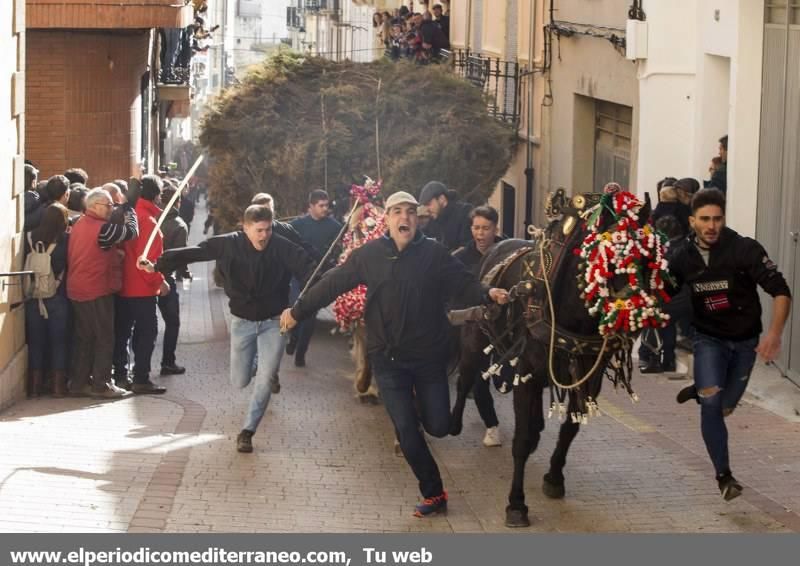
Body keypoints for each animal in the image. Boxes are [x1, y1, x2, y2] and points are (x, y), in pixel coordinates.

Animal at [446, 189, 652, 532]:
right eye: (612, 251)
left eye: (653, 255)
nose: (639, 311)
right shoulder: (525, 372)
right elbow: (520, 439)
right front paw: (516, 504)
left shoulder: (588, 377)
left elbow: (570, 427)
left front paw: (554, 477)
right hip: (475, 337)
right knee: (466, 378)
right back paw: (452, 421)